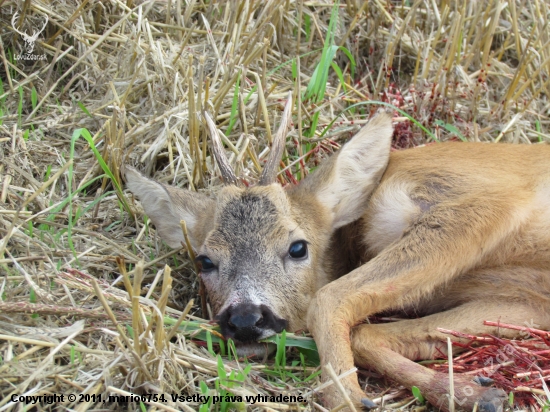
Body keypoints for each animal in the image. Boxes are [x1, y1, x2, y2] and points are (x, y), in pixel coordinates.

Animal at [125, 95, 550, 410]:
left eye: (298, 247)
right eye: (205, 261)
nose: (245, 318)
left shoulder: (482, 199)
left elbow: (328, 299)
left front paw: (348, 399)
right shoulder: (525, 302)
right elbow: (365, 333)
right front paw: (475, 394)